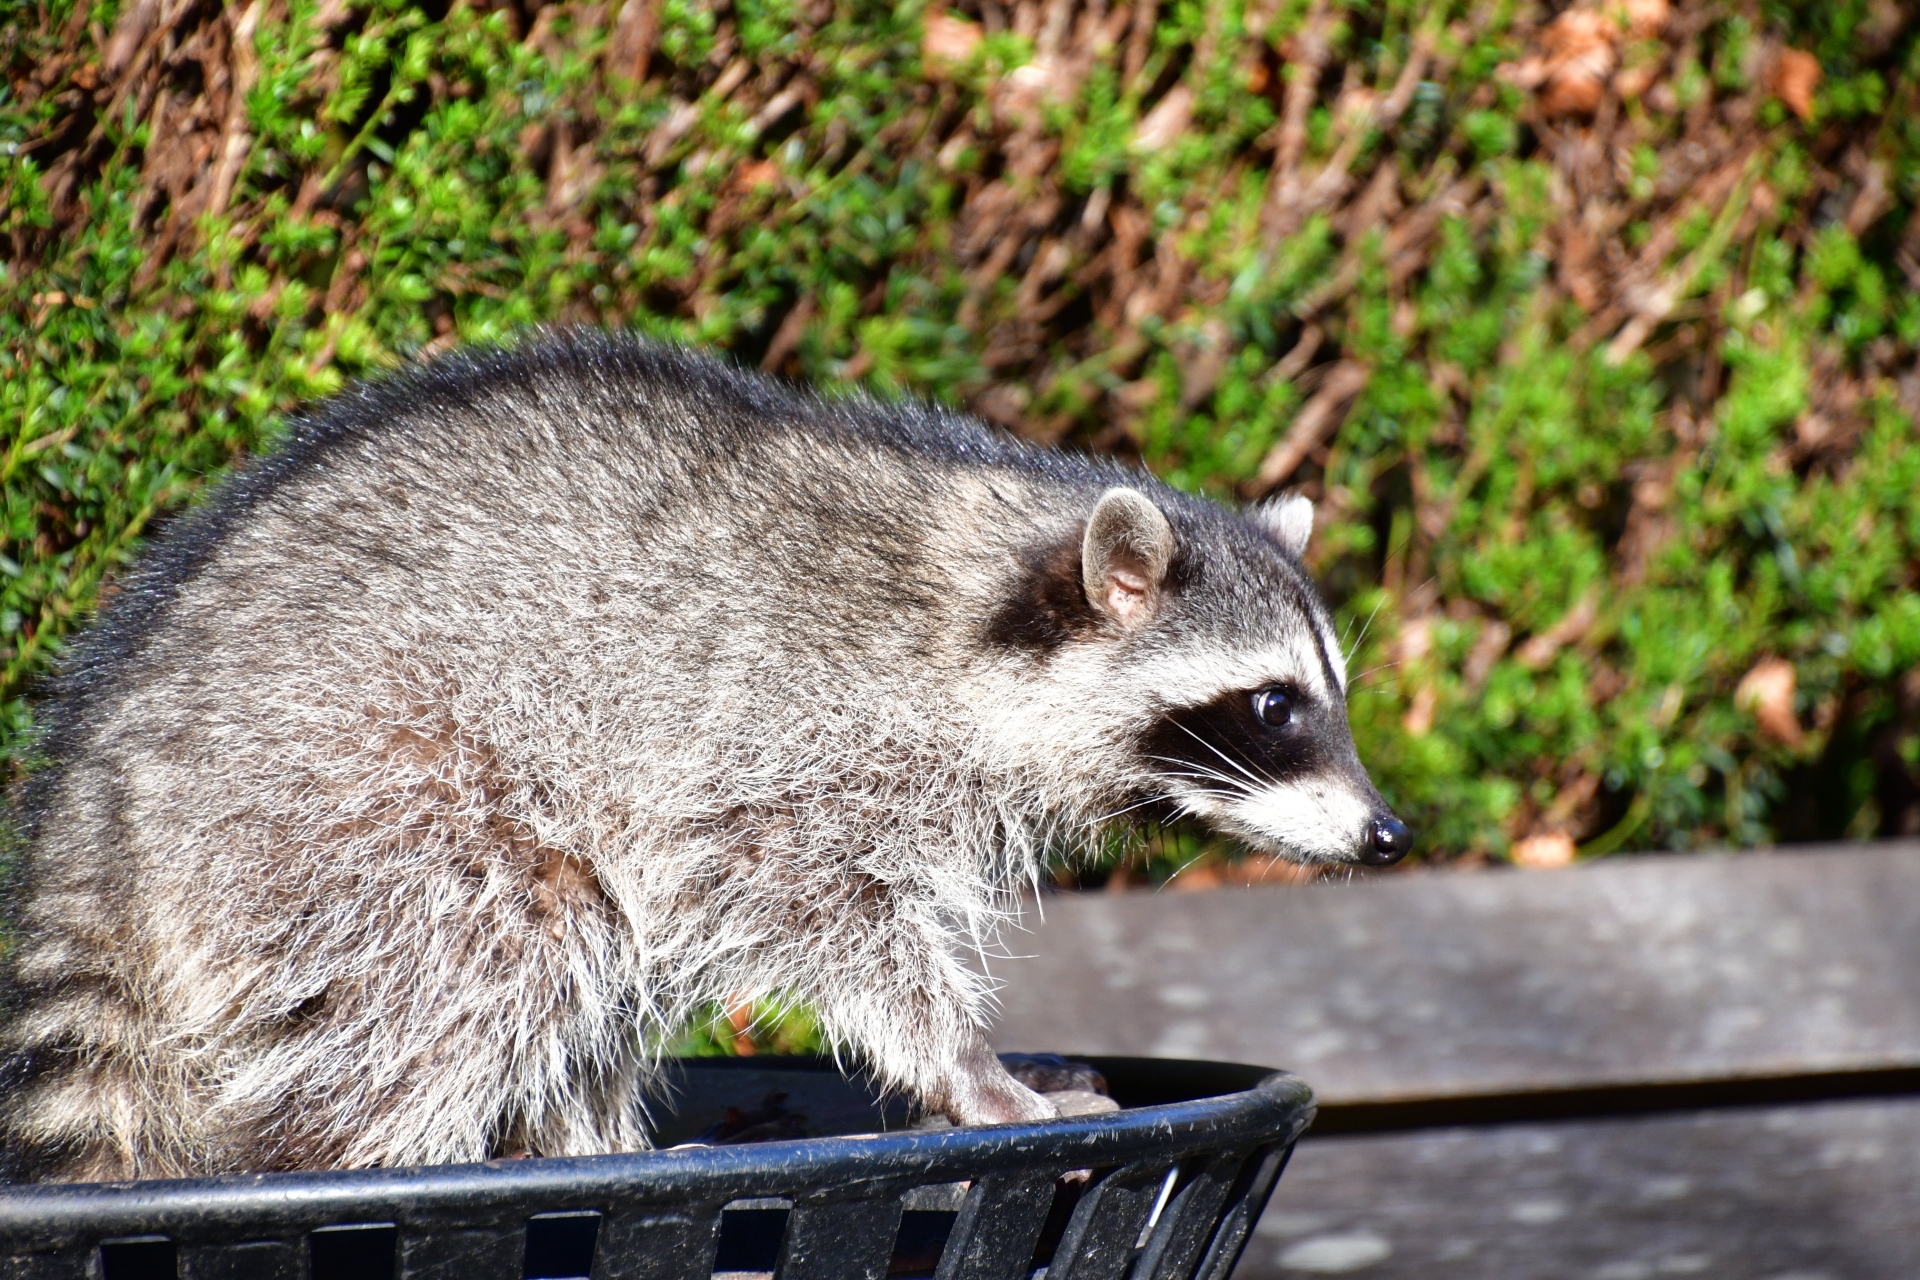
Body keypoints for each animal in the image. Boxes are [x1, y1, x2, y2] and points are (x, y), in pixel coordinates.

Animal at [0, 328, 1413, 1182]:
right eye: (1274, 705)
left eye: (1325, 697)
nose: (1389, 831)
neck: (987, 579)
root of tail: (105, 767)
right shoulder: (790, 743)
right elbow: (828, 911)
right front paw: (968, 1066)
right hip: (354, 799)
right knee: (485, 952)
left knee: (583, 981)